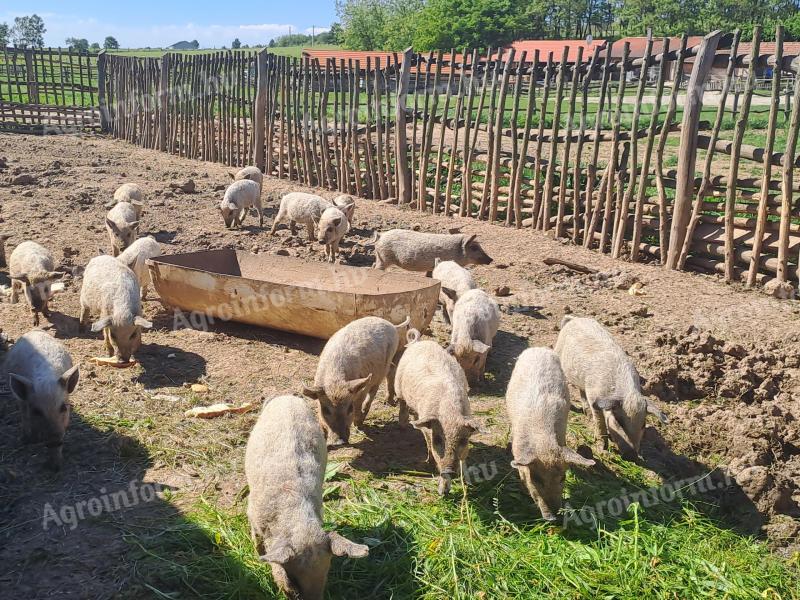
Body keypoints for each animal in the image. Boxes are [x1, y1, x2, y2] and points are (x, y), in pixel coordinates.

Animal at [3, 330, 79, 472]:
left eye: (63, 408)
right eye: (36, 411)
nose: (54, 440)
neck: (46, 379)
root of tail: (34, 331)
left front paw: (56, 465)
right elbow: (26, 416)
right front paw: (28, 440)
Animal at [245, 394, 370, 600]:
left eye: (326, 574)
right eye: (293, 577)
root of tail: (287, 396)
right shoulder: (253, 514)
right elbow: (259, 544)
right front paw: (258, 556)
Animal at [394, 336, 482, 494]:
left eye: (463, 441)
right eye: (438, 440)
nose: (450, 471)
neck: (449, 414)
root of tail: (419, 341)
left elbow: (464, 459)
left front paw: (465, 483)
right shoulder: (429, 430)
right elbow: (429, 445)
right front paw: (441, 491)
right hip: (398, 386)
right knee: (403, 405)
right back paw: (403, 425)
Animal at [552, 314, 664, 460]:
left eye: (643, 425)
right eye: (619, 422)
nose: (633, 456)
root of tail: (573, 319)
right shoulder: (594, 397)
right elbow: (600, 424)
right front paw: (602, 449)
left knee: (582, 392)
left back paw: (586, 413)